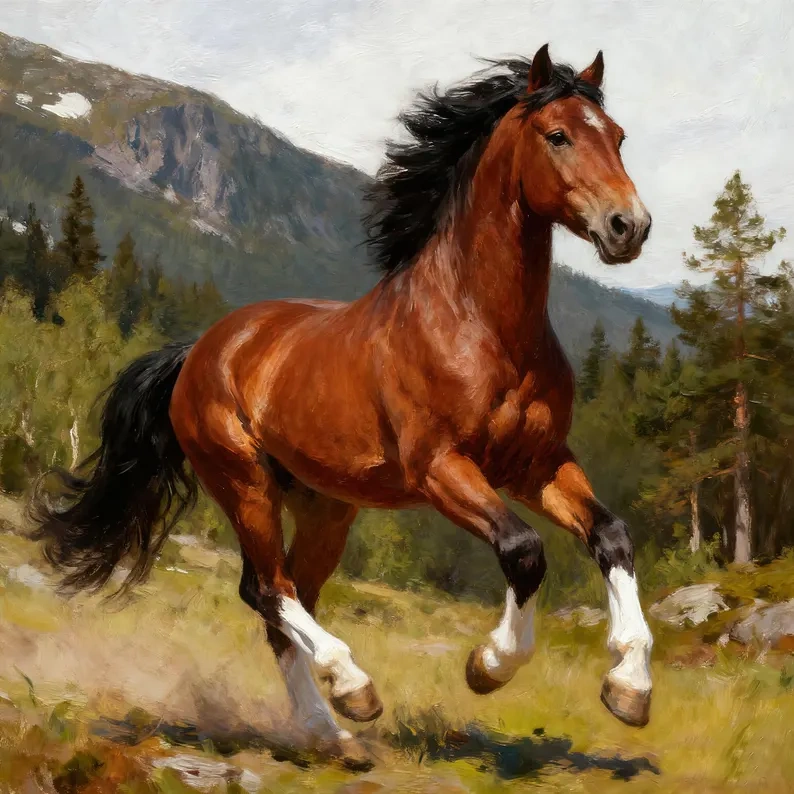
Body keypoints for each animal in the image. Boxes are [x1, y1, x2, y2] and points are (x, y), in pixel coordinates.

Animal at [34, 44, 653, 768]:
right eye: (557, 135)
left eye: (618, 137)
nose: (629, 226)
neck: (481, 324)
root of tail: (201, 349)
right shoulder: (441, 468)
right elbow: (523, 550)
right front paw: (489, 665)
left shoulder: (537, 464)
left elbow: (611, 535)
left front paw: (630, 688)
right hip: (243, 482)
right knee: (268, 589)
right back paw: (351, 693)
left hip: (327, 507)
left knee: (284, 598)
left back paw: (330, 735)